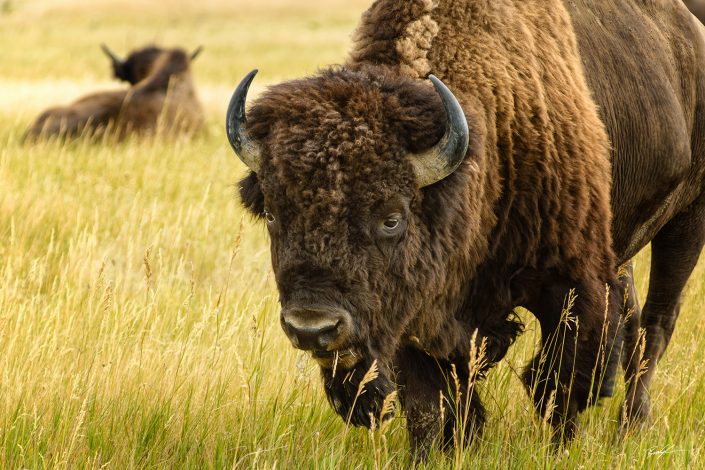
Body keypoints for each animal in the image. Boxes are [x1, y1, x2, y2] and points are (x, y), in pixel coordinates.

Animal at [227, 0, 705, 460]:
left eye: (391, 217)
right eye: (273, 213)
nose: (312, 327)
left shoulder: (571, 286)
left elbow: (559, 384)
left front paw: (560, 449)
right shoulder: (413, 310)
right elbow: (431, 403)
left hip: (686, 222)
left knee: (655, 325)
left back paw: (631, 427)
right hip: (622, 250)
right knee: (633, 317)